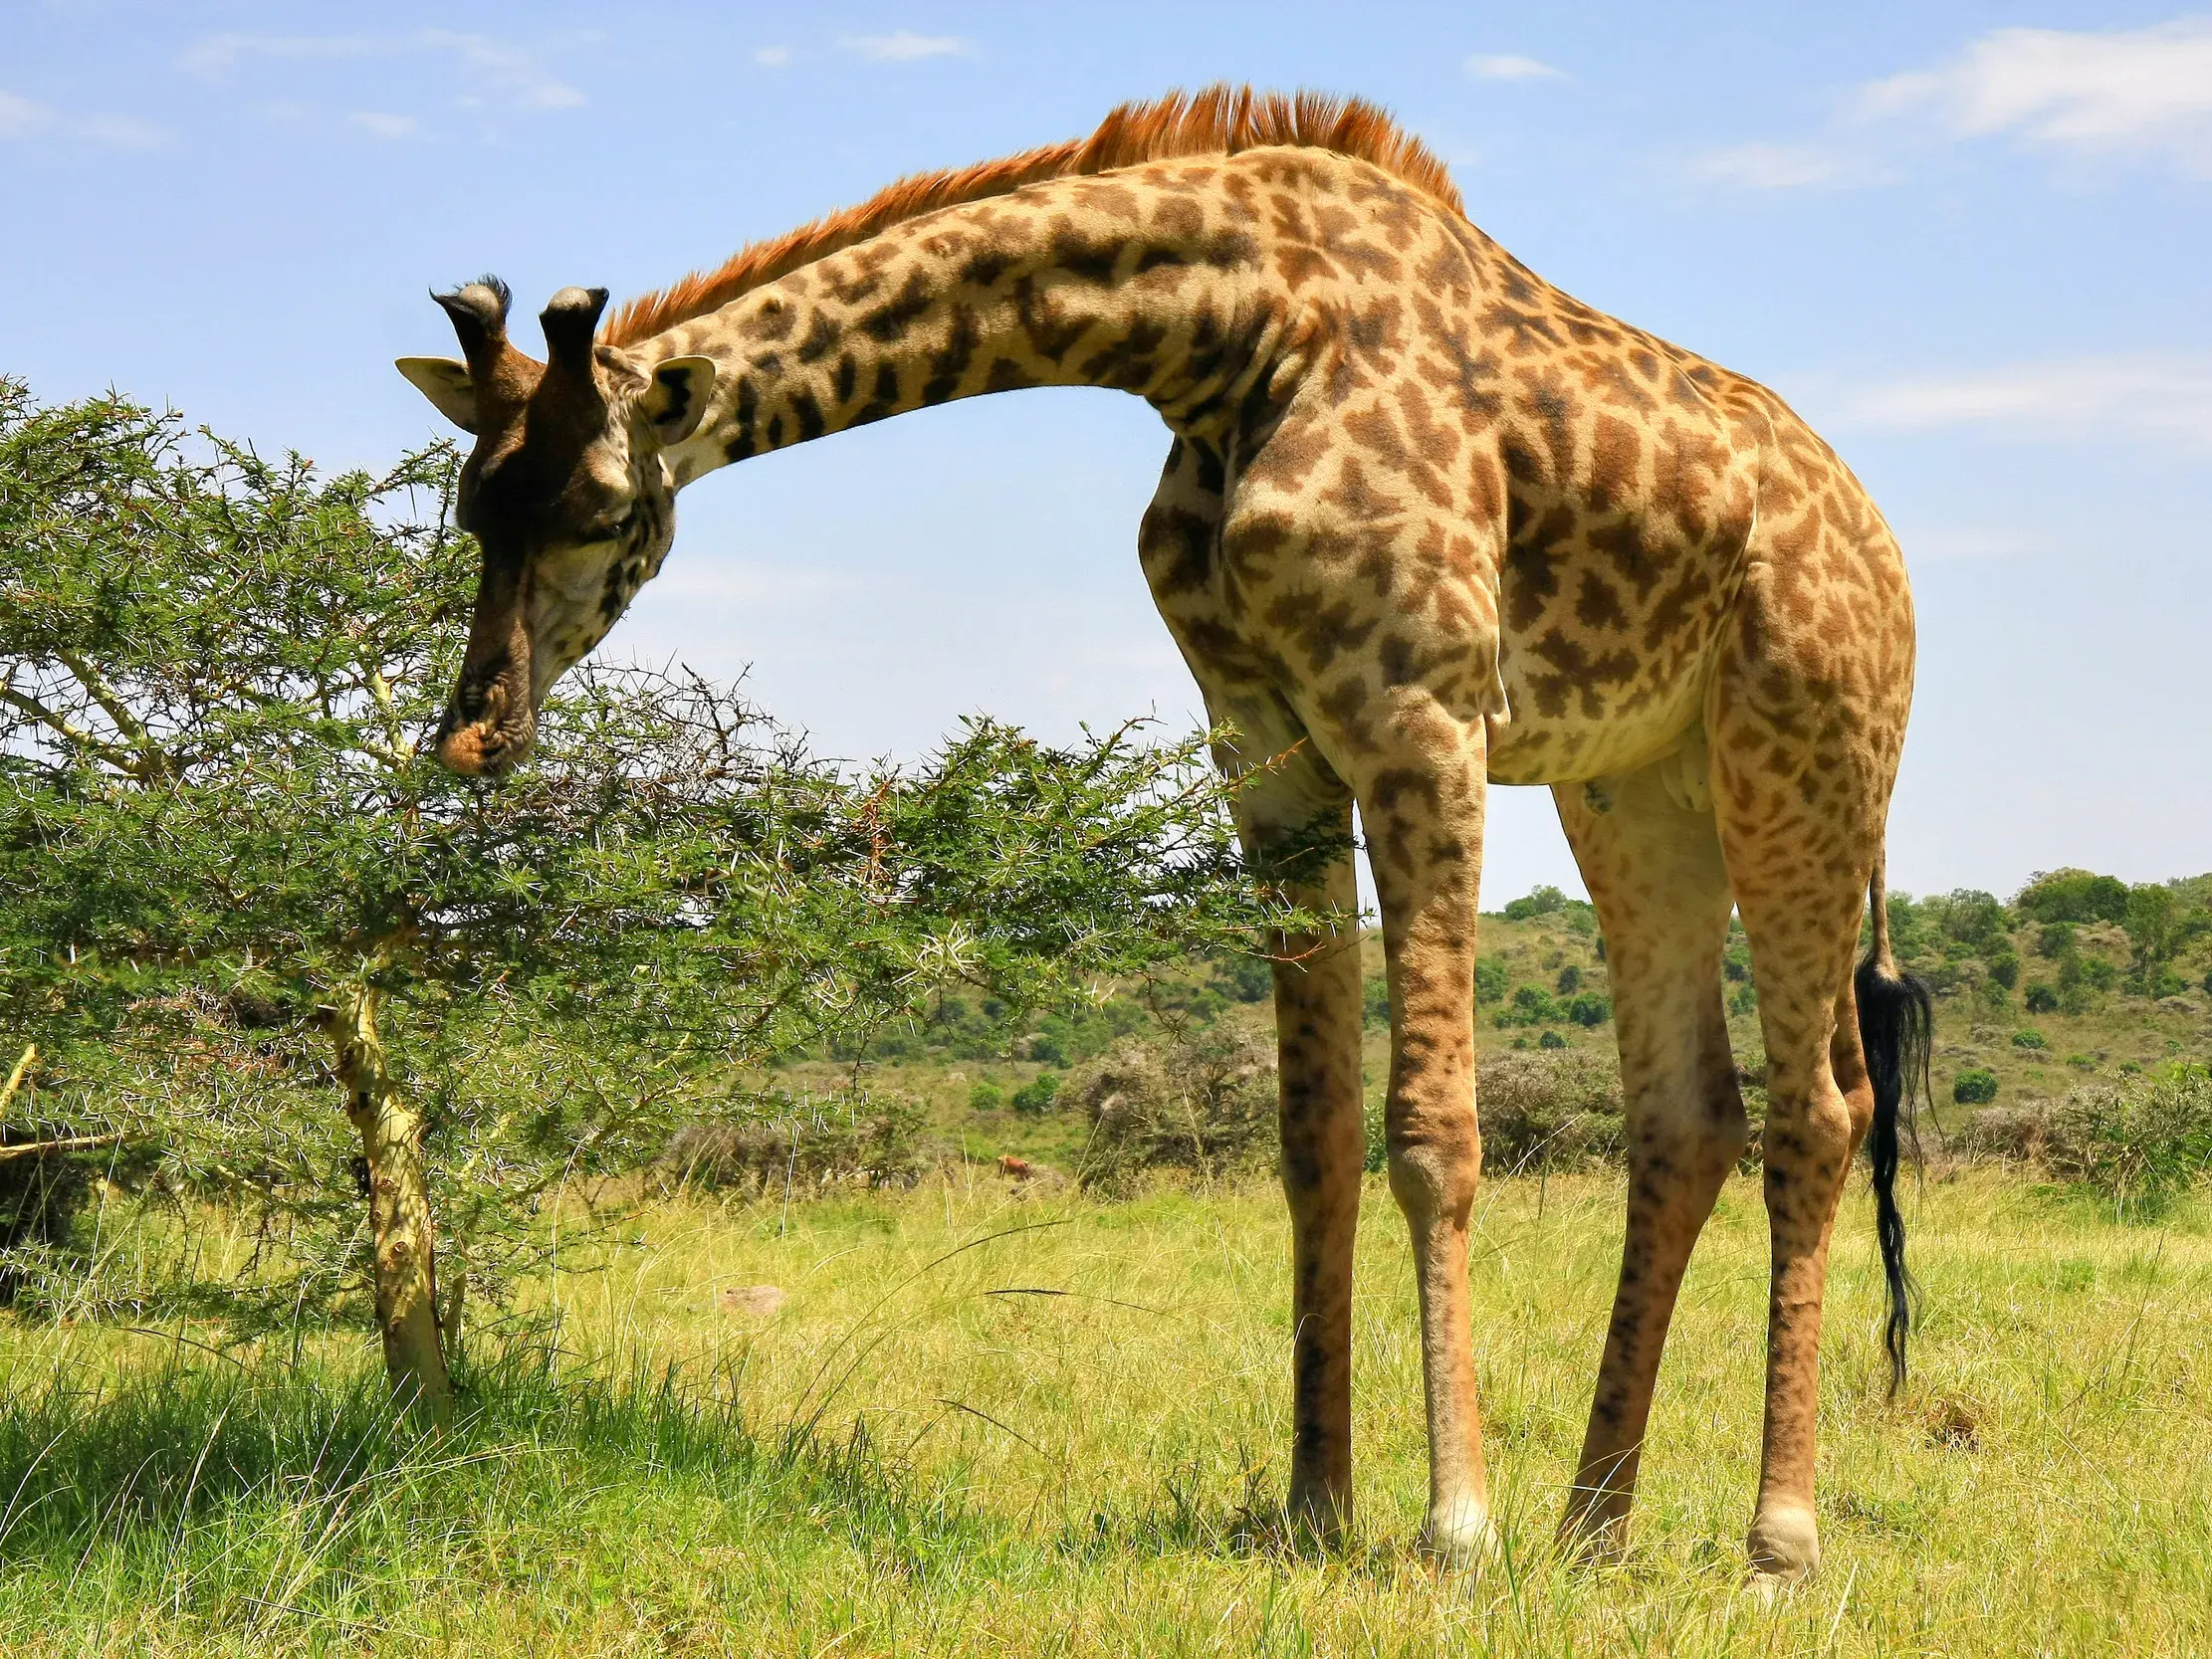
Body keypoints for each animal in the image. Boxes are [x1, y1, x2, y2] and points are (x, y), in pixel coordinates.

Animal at [395, 86, 1932, 1582]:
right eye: (469, 504)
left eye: (601, 506)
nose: (475, 732)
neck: (1230, 336)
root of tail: (1883, 550)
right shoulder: (1263, 742)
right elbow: (1311, 1133)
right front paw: (1317, 1502)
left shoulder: (1420, 715)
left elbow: (1433, 1126)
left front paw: (1453, 1524)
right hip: (1634, 789)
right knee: (1688, 1114)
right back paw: (1590, 1526)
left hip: (1800, 753)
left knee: (1818, 1109)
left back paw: (1773, 1540)